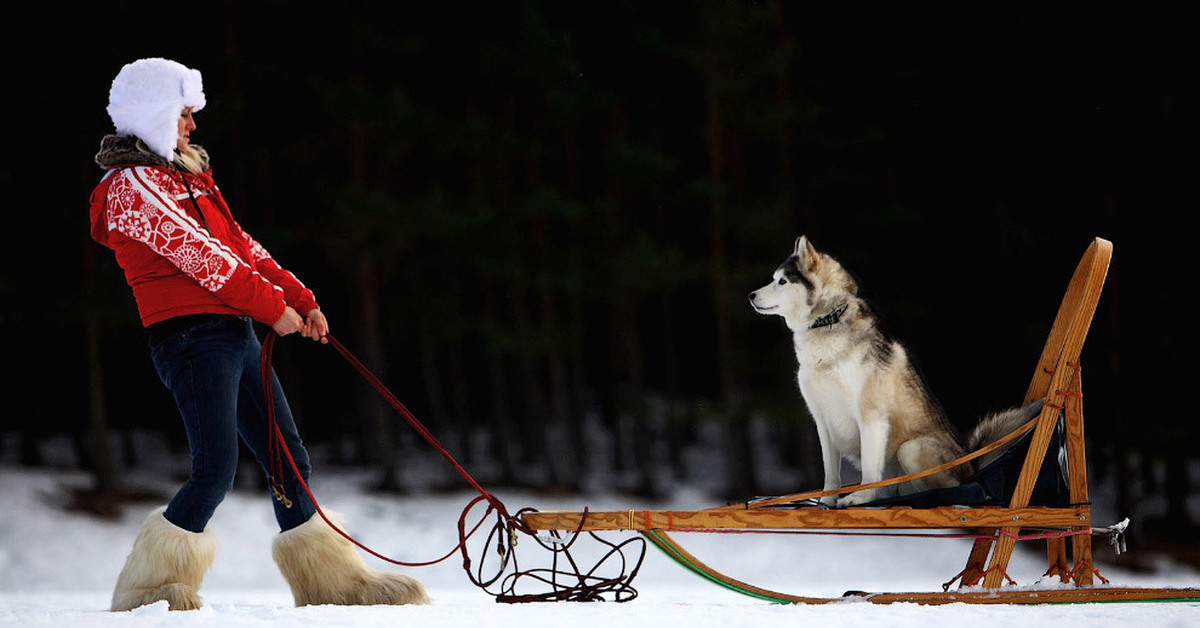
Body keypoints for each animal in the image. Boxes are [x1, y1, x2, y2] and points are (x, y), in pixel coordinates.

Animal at [748, 238, 1041, 509]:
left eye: (782, 281)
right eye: (774, 279)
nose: (750, 295)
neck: (827, 322)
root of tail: (973, 468)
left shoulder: (871, 416)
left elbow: (869, 472)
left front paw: (860, 498)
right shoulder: (823, 421)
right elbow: (831, 475)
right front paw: (826, 502)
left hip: (911, 448)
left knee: (955, 489)